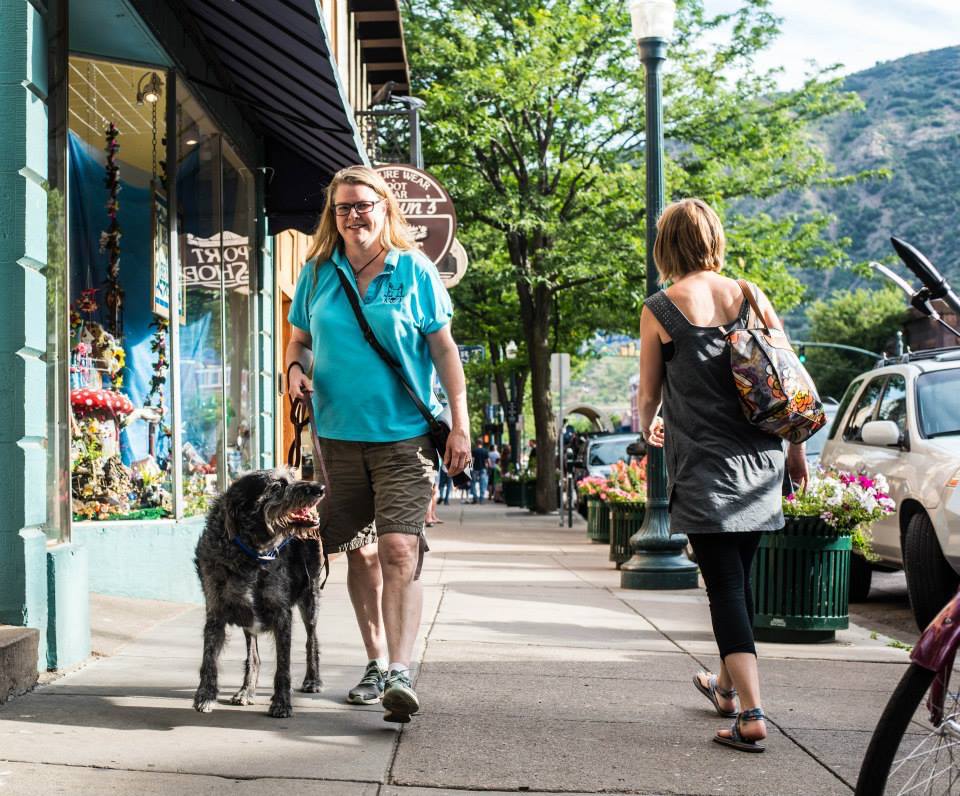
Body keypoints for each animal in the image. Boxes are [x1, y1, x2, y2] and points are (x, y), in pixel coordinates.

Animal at [191, 466, 326, 720]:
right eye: (277, 486)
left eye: (292, 477)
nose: (320, 488)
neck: (251, 553)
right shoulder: (215, 614)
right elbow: (208, 658)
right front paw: (205, 696)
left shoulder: (282, 615)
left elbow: (283, 665)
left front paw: (282, 703)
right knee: (253, 656)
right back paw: (246, 691)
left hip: (310, 598)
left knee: (311, 639)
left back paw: (313, 680)